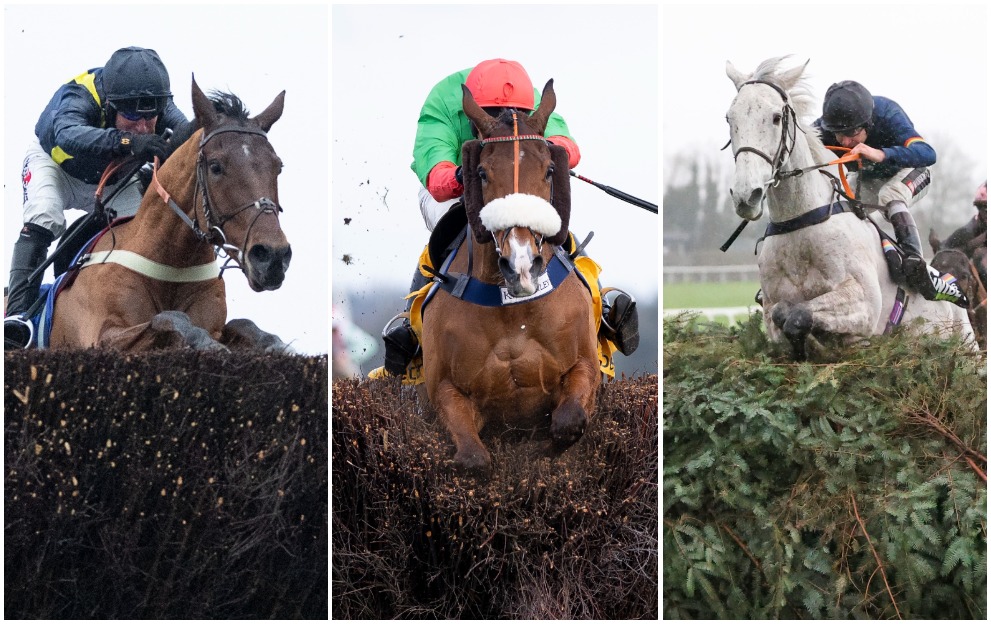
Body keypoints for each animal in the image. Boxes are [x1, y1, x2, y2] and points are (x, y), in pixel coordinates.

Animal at [48, 78, 292, 351]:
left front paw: (277, 345)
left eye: (278, 167)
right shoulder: (101, 336)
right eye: (215, 167)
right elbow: (169, 318)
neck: (171, 266)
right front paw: (208, 345)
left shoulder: (218, 324)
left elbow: (247, 326)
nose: (272, 256)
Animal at [418, 80, 600, 474]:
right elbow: (474, 459)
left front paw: (540, 461)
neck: (513, 309)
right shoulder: (444, 390)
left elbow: (569, 422)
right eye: (482, 172)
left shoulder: (585, 366)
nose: (522, 265)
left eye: (550, 169)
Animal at [724, 57, 974, 359]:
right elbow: (783, 314)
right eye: (730, 118)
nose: (745, 195)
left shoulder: (863, 304)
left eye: (775, 117)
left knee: (893, 194)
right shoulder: (772, 311)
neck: (802, 222)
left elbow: (800, 314)